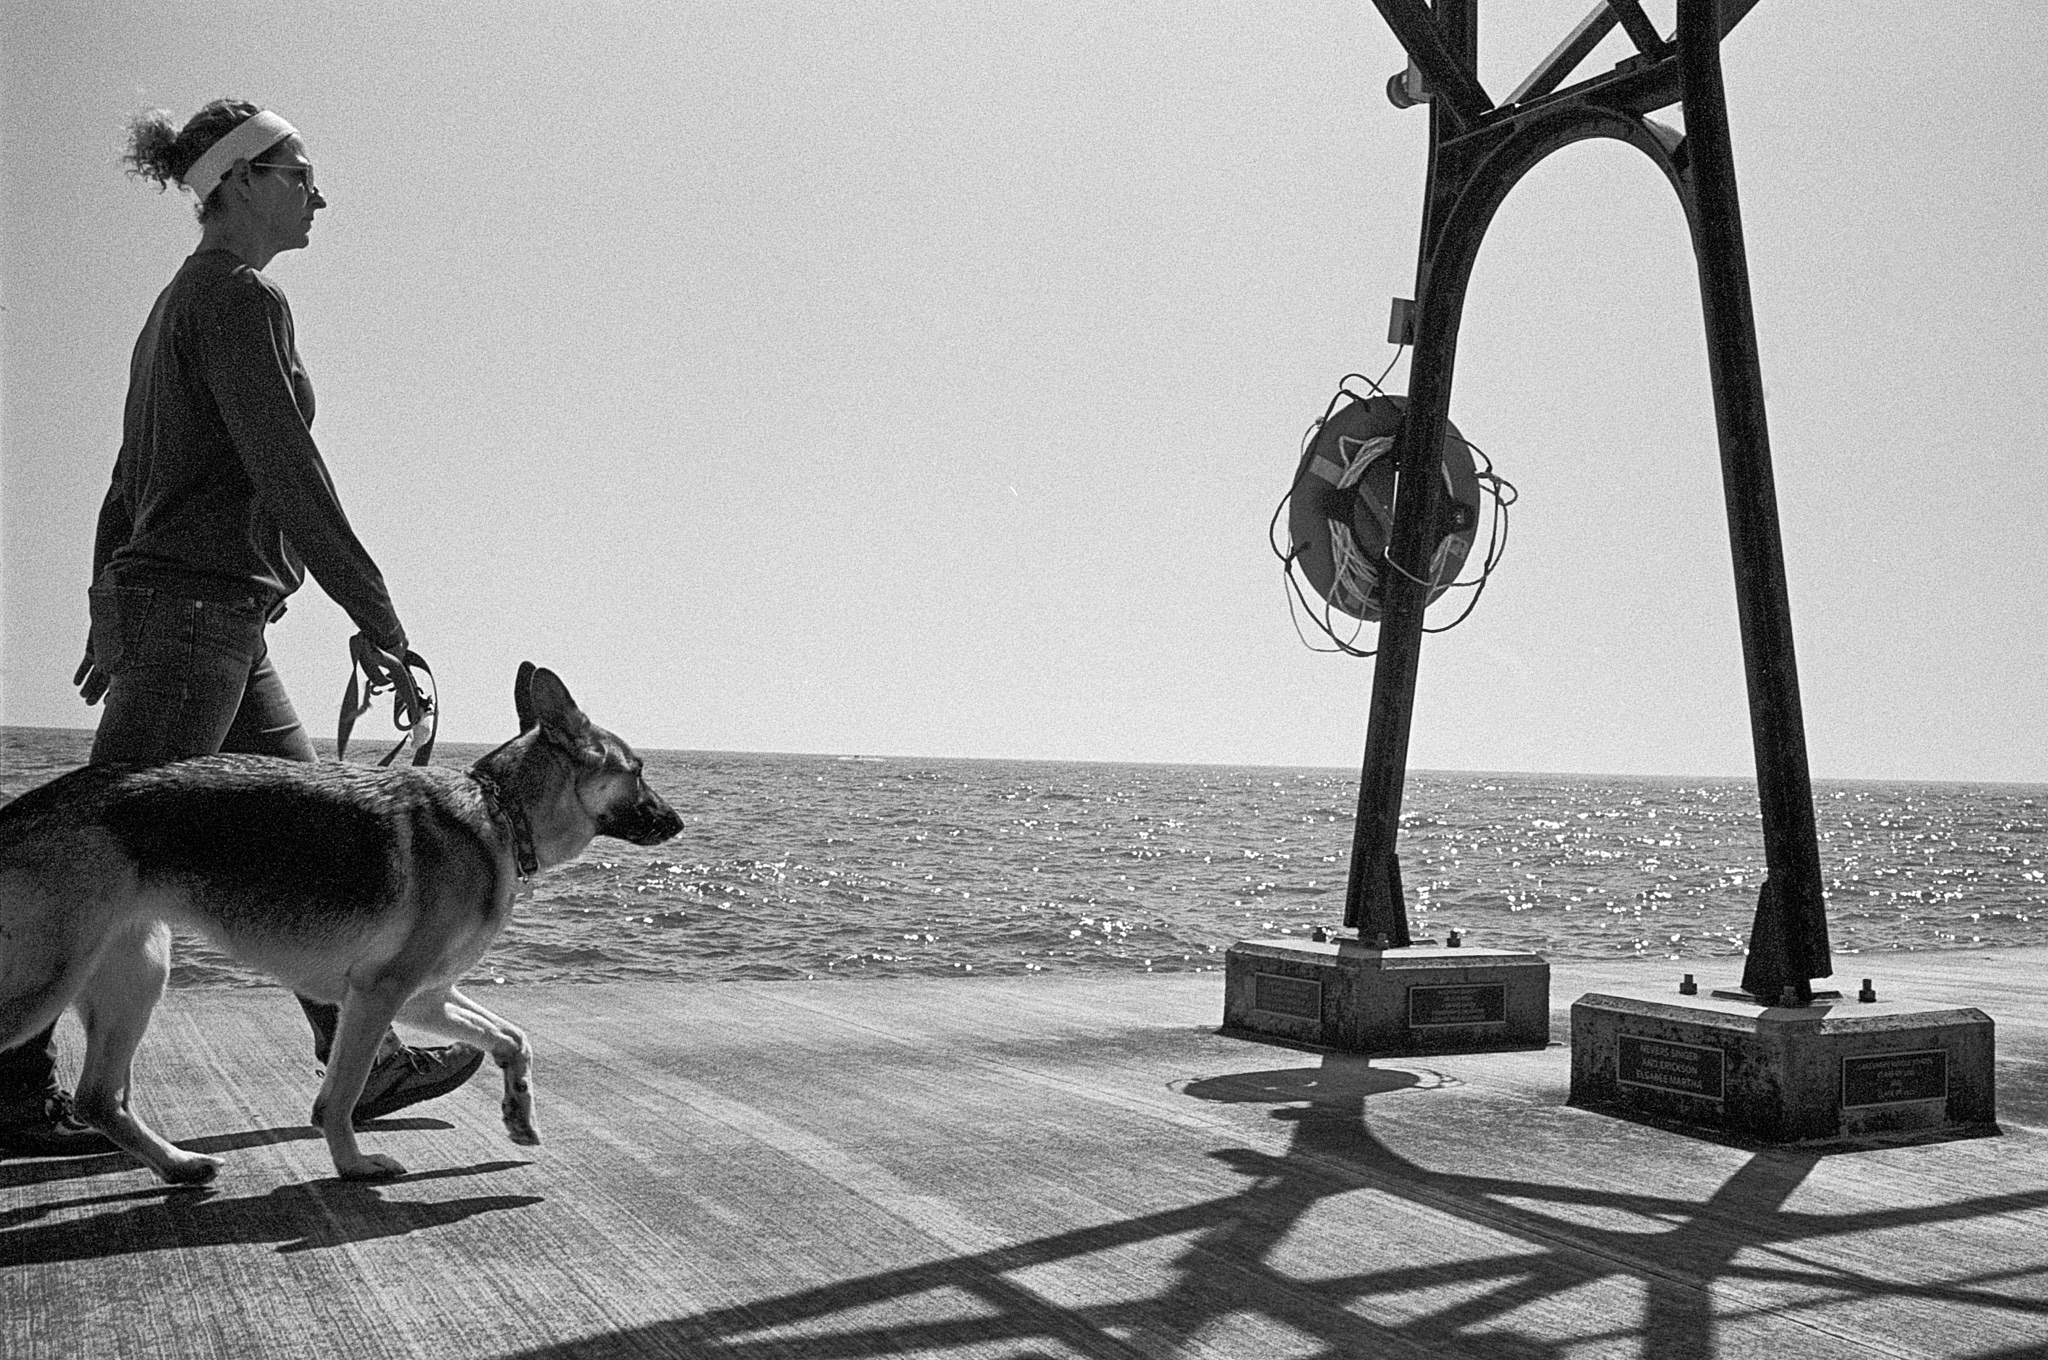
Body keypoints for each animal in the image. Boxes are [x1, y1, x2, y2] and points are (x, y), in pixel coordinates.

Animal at [0, 663, 684, 1187]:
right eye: (638, 770)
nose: (678, 823)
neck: (499, 810)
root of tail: (25, 808)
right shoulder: (381, 994)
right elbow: (342, 1095)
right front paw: (354, 1167)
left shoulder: (426, 995)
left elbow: (514, 1038)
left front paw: (519, 1113)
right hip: (48, 987)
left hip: (139, 973)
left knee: (100, 1099)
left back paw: (178, 1165)